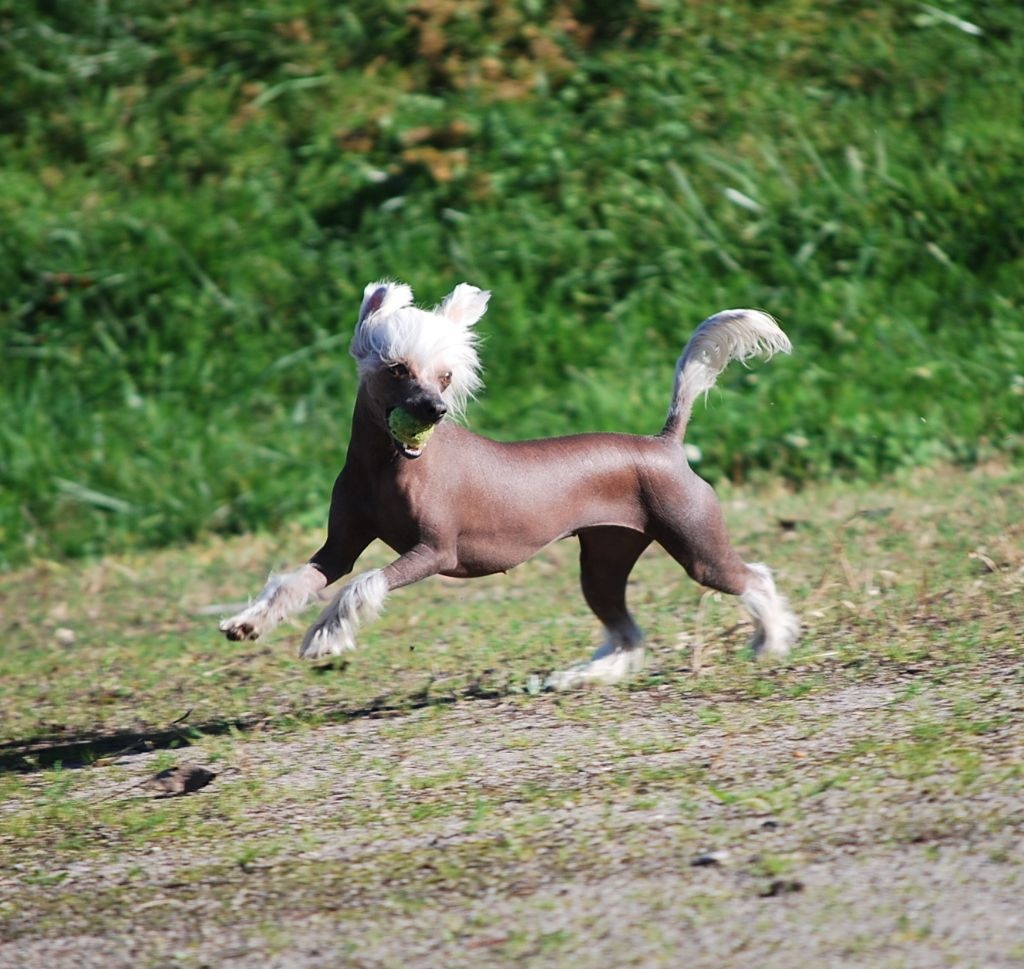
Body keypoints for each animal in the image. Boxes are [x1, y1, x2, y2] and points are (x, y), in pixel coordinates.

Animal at [222, 278, 798, 688]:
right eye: (398, 369)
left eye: (446, 378)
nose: (434, 410)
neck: (388, 465)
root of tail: (665, 444)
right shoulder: (339, 547)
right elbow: (296, 581)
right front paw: (249, 622)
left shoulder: (434, 551)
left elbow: (363, 584)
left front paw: (324, 636)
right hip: (604, 560)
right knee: (627, 632)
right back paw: (581, 677)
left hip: (695, 543)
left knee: (753, 579)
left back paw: (770, 640)